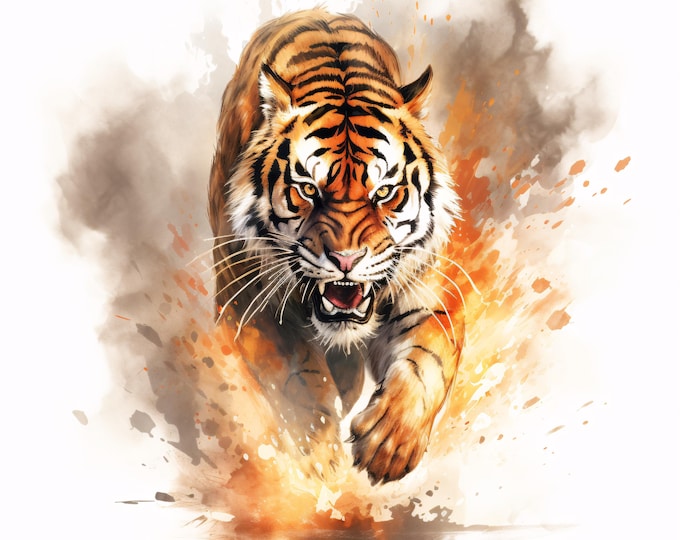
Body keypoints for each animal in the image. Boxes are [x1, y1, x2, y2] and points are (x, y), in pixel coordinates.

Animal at [208, 8, 464, 484]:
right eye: (308, 189)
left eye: (384, 192)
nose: (346, 260)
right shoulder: (247, 303)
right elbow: (298, 383)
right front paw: (322, 464)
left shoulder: (427, 295)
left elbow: (432, 356)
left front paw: (388, 442)